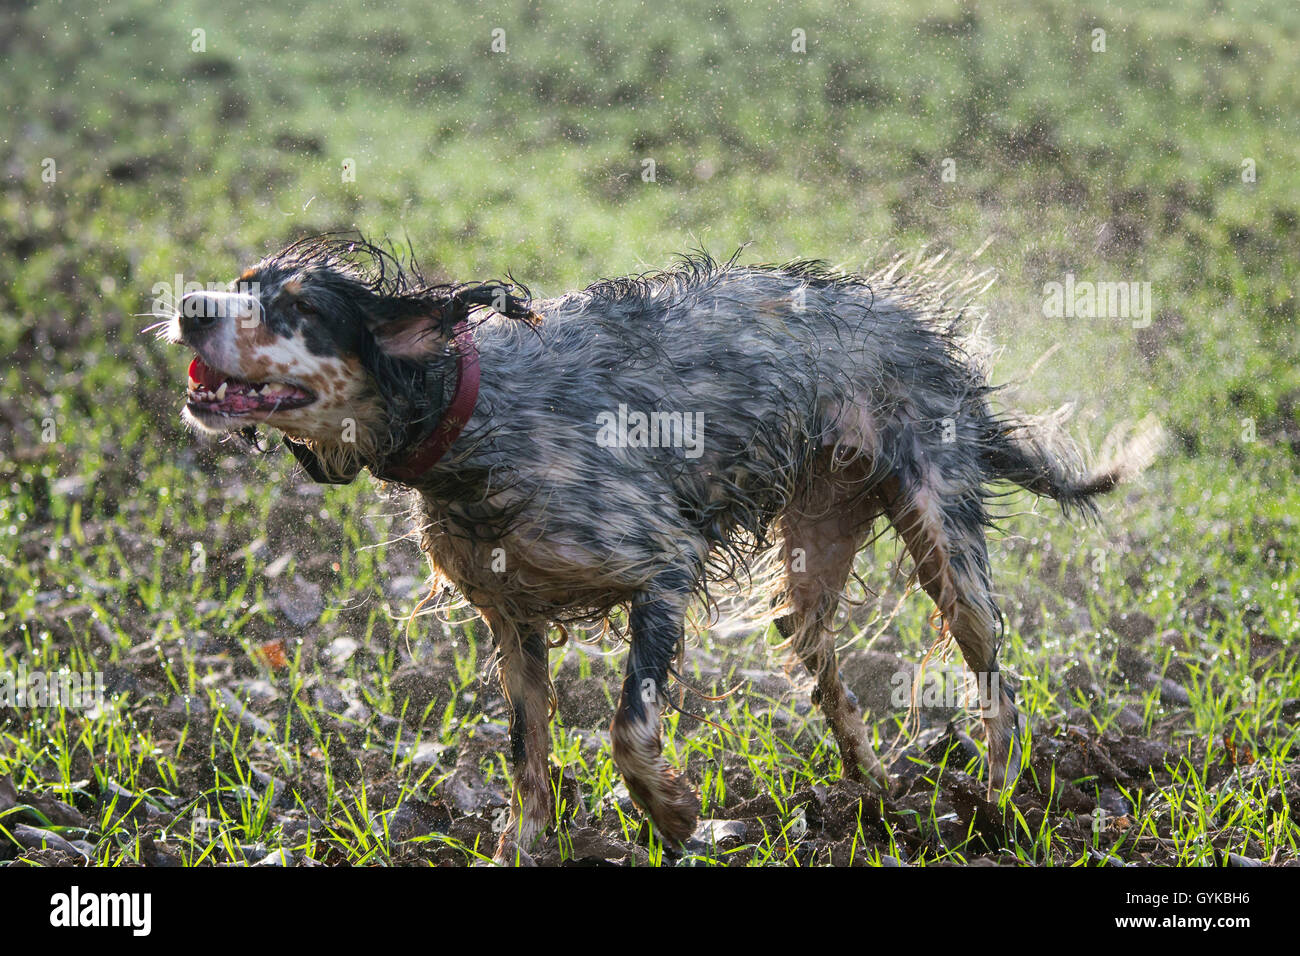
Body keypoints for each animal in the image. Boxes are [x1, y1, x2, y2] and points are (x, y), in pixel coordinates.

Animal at [165, 238, 1159, 858]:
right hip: (810, 563)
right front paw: (526, 844)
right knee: (827, 670)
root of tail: (920, 330)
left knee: (996, 676)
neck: (474, 417)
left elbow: (627, 727)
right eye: (242, 281)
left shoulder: (659, 567)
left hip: (945, 550)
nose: (188, 306)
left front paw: (673, 811)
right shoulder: (511, 626)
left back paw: (996, 798)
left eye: (297, 309)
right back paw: (873, 788)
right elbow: (528, 760)